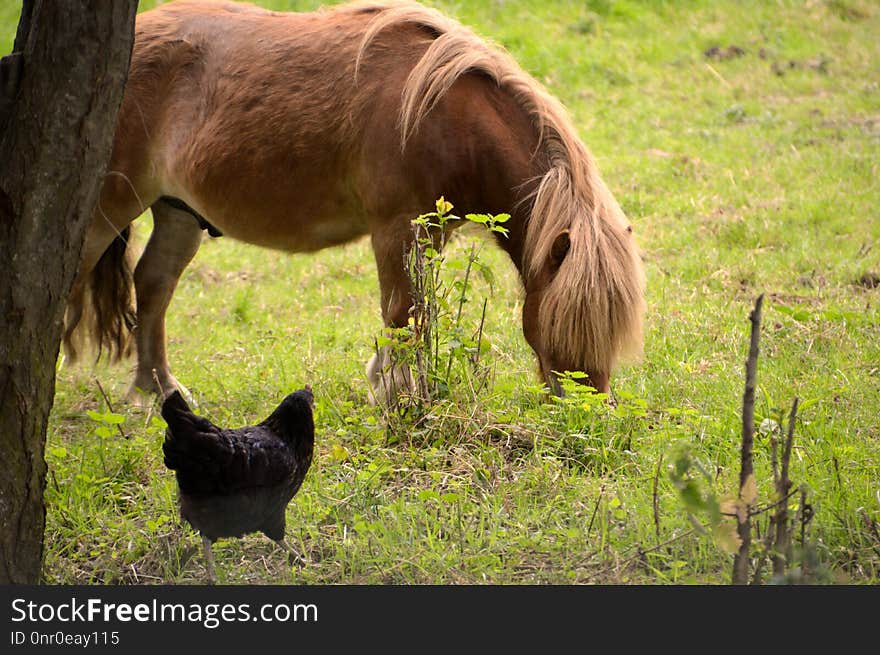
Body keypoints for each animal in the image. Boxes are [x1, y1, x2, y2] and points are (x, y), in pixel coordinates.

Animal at [65, 0, 648, 404]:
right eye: (565, 322)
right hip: (107, 210)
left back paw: (159, 390)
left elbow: (418, 313)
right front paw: (397, 393)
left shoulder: (432, 232)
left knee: (153, 284)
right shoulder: (396, 228)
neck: (442, 112)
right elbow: (402, 312)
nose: (585, 411)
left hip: (179, 212)